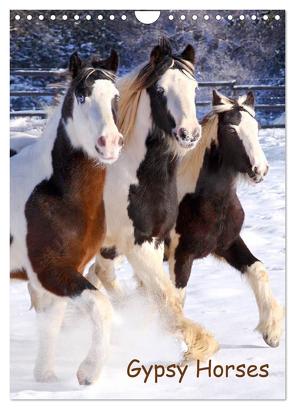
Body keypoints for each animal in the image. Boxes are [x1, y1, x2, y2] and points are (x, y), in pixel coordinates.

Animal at [166, 90, 284, 348]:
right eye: (231, 130)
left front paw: (272, 332)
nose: (260, 169)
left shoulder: (227, 244)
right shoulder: (181, 255)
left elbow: (258, 269)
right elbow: (176, 299)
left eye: (256, 127)